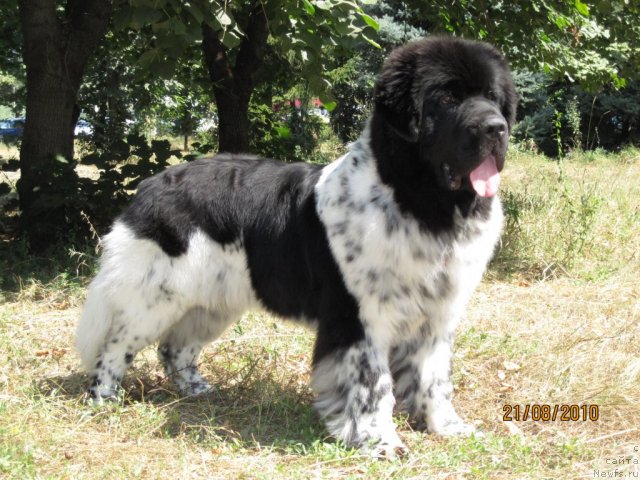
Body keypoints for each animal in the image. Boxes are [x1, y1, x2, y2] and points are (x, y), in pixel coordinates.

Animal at [77, 36, 516, 458]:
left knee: (175, 347)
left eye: (493, 97)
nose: (496, 128)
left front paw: (448, 427)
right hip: (153, 297)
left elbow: (434, 378)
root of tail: (150, 186)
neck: (417, 202)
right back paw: (104, 398)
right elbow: (372, 384)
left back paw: (196, 391)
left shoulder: (436, 317)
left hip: (212, 301)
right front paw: (378, 441)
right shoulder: (360, 317)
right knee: (114, 345)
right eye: (446, 99)